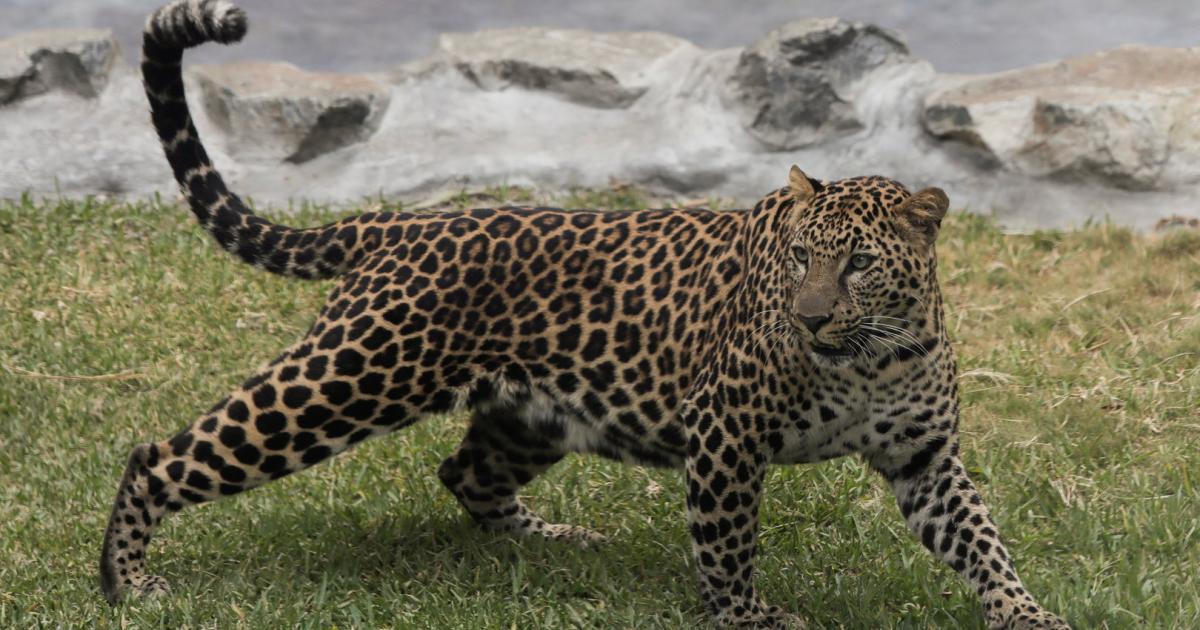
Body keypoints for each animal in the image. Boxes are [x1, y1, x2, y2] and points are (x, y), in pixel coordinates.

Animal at [99, 2, 1071, 628]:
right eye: (801, 258)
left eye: (858, 265)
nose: (810, 320)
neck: (871, 357)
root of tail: (399, 219)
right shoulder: (724, 433)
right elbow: (728, 540)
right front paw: (747, 615)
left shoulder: (923, 457)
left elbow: (982, 539)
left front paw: (1026, 613)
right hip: (353, 375)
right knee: (162, 456)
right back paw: (126, 582)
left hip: (535, 412)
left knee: (467, 473)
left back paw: (554, 542)